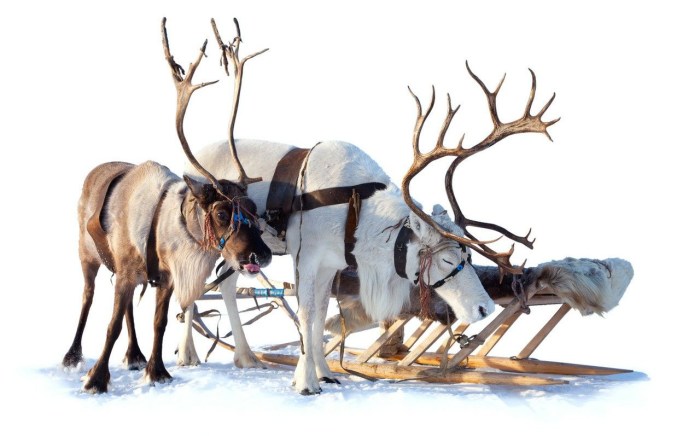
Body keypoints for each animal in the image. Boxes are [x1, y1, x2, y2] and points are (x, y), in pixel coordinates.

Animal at [61, 18, 272, 394]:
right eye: (221, 212)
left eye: (253, 209)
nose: (261, 255)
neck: (165, 230)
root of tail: (93, 171)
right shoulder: (128, 270)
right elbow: (111, 325)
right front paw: (96, 379)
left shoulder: (165, 277)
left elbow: (158, 322)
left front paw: (156, 371)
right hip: (87, 254)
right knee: (87, 297)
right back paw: (73, 357)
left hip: (126, 272)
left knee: (128, 309)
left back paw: (134, 355)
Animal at [180, 55, 558, 394]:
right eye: (449, 259)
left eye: (468, 254)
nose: (485, 307)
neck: (359, 217)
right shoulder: (307, 258)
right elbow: (306, 315)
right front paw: (305, 382)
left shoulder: (331, 265)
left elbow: (321, 315)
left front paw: (325, 372)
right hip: (204, 241)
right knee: (192, 287)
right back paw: (188, 355)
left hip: (237, 252)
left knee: (227, 284)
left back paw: (245, 356)